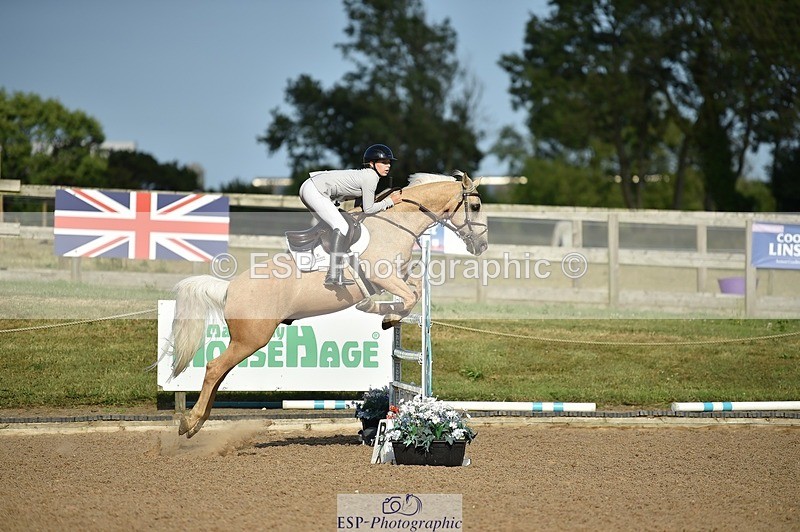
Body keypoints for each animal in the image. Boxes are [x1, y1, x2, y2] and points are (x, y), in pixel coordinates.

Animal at [166, 171, 488, 438]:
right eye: (475, 206)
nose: (482, 246)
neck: (397, 224)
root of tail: (230, 288)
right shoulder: (381, 276)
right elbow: (409, 297)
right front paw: (383, 315)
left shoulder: (398, 275)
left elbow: (415, 291)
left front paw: (388, 314)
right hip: (251, 338)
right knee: (214, 368)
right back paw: (190, 422)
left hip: (245, 340)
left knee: (220, 372)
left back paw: (199, 421)